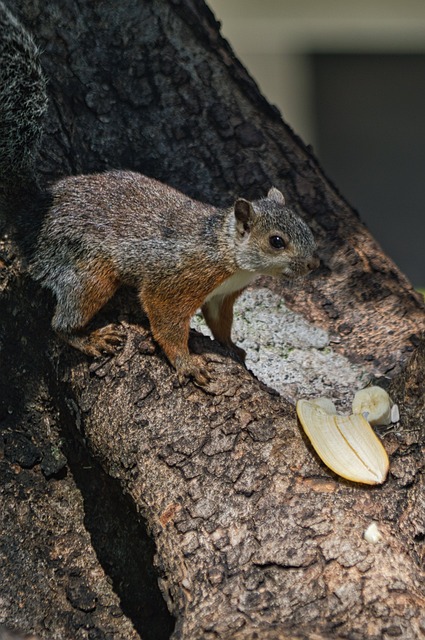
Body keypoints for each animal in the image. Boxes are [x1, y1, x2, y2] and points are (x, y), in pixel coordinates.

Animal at [0, 2, 318, 384]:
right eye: (276, 241)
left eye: (306, 227)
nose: (313, 264)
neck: (229, 254)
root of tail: (34, 213)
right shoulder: (178, 280)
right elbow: (166, 320)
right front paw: (187, 363)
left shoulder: (222, 296)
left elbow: (220, 323)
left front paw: (232, 348)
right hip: (86, 270)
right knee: (62, 322)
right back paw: (89, 339)